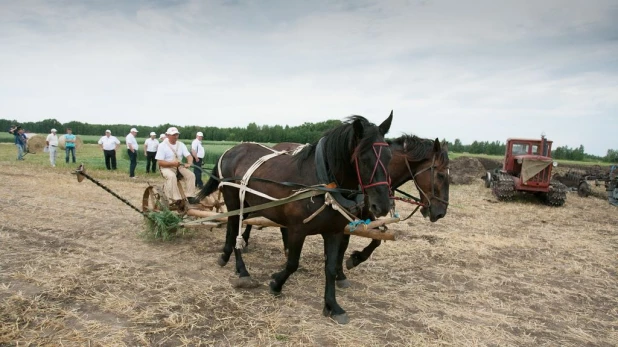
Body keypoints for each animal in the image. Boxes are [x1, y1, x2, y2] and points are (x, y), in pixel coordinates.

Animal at [199, 113, 390, 324]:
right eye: (363, 159)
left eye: (389, 157)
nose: (382, 205)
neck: (322, 183)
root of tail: (231, 150)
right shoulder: (298, 230)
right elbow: (292, 263)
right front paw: (276, 284)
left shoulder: (334, 232)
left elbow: (331, 268)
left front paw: (333, 306)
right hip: (234, 202)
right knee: (235, 232)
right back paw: (242, 271)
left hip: (248, 205)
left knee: (233, 231)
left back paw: (226, 258)